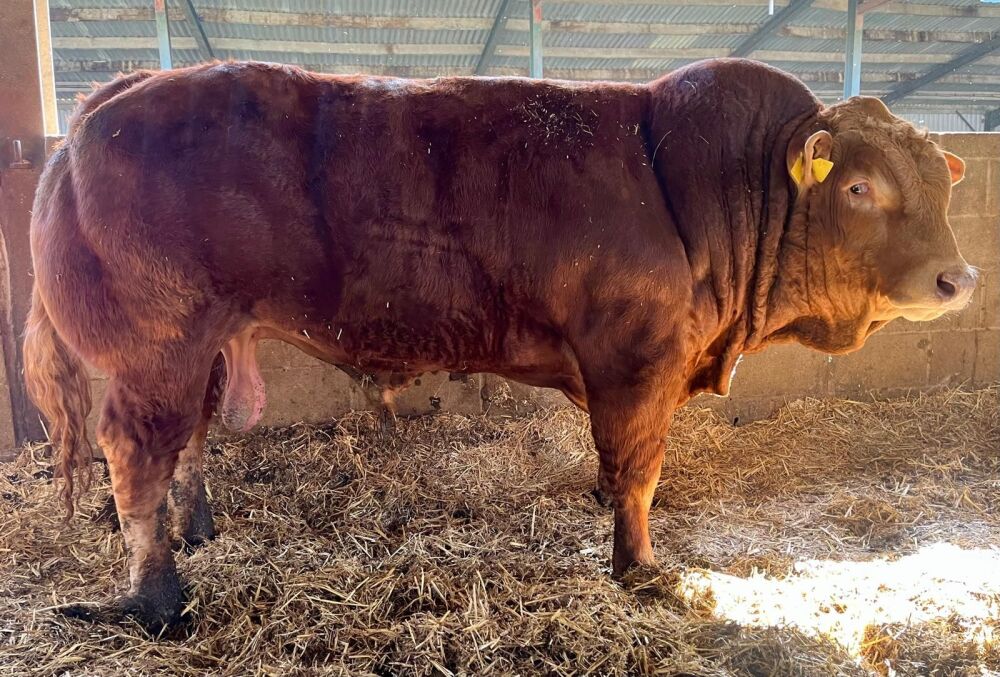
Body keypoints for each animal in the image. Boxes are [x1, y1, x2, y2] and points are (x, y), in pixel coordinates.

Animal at [23, 58, 975, 630]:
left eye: (938, 184)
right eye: (860, 186)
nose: (959, 277)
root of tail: (110, 99)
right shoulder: (638, 363)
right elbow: (639, 472)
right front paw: (639, 568)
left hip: (207, 344)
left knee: (188, 443)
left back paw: (200, 531)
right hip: (156, 345)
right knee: (135, 458)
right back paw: (158, 594)